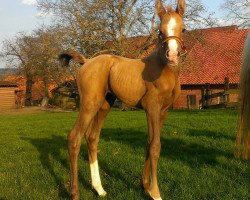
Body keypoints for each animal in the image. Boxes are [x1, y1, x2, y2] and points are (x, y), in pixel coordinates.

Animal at [59, 0, 186, 199]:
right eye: (160, 30)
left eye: (183, 29)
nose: (172, 56)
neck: (164, 70)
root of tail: (86, 62)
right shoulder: (152, 107)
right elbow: (155, 146)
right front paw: (155, 192)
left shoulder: (163, 111)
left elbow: (149, 143)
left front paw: (145, 186)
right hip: (89, 103)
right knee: (74, 138)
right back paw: (75, 193)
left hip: (105, 104)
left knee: (92, 137)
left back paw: (99, 188)